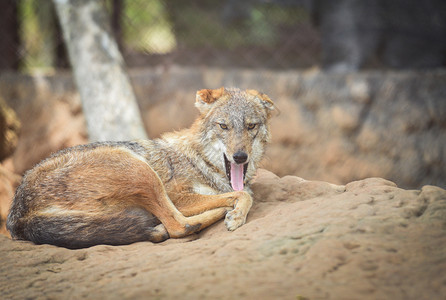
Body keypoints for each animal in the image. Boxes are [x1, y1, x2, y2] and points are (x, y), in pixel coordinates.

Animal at [6, 87, 276, 248]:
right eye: (223, 126)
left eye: (251, 126)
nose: (239, 157)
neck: (200, 160)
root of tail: (19, 217)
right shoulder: (179, 197)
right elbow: (243, 195)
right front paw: (236, 215)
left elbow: (242, 193)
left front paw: (237, 211)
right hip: (141, 171)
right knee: (179, 226)